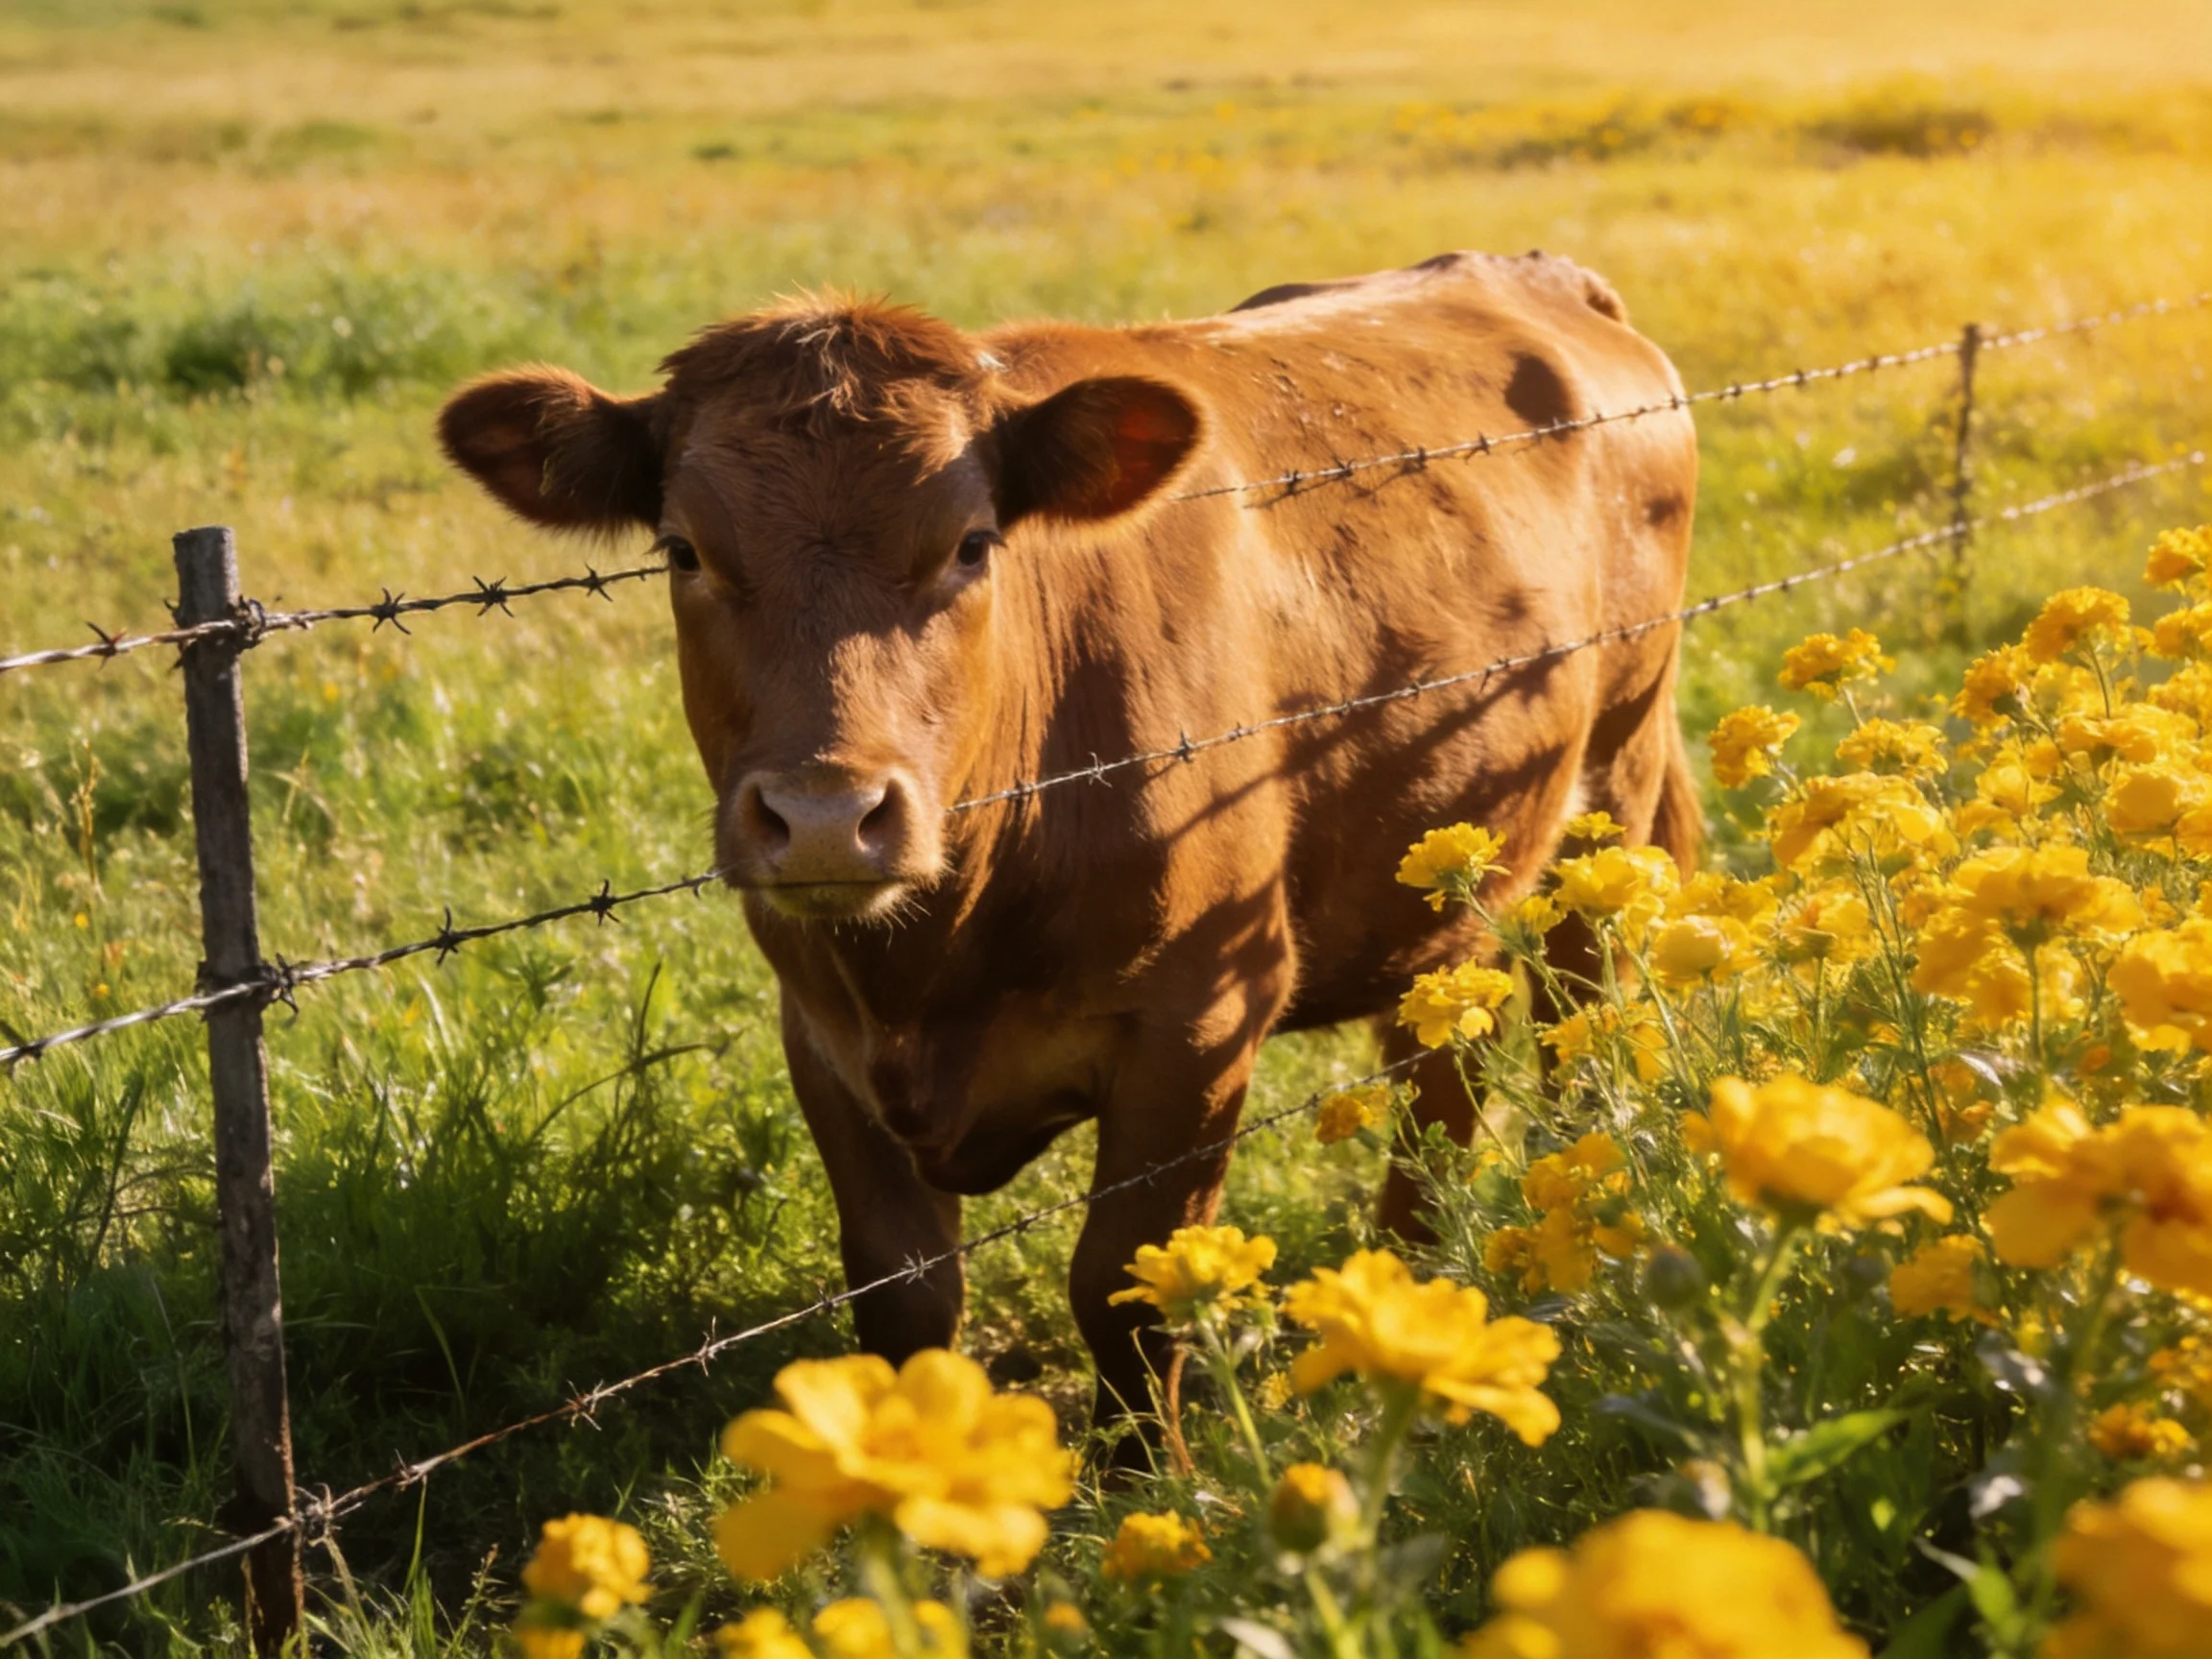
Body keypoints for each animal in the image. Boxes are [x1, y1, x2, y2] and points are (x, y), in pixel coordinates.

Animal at [436, 250, 1700, 1437]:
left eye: (971, 543)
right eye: (684, 551)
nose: (827, 814)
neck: (931, 973)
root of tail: (1525, 272)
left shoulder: (1204, 1018)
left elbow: (1125, 1295)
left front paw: (1157, 1489)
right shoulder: (824, 1039)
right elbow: (903, 1297)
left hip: (1614, 782)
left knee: (1576, 1018)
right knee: (1441, 1066)